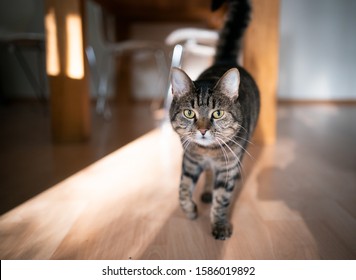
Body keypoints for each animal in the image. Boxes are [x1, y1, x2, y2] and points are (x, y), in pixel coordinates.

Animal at [169, 0, 258, 241]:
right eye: (189, 113)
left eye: (217, 114)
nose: (202, 130)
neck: (208, 153)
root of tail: (226, 60)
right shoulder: (190, 160)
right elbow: (182, 189)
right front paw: (190, 211)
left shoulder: (229, 167)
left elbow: (222, 199)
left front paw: (219, 224)